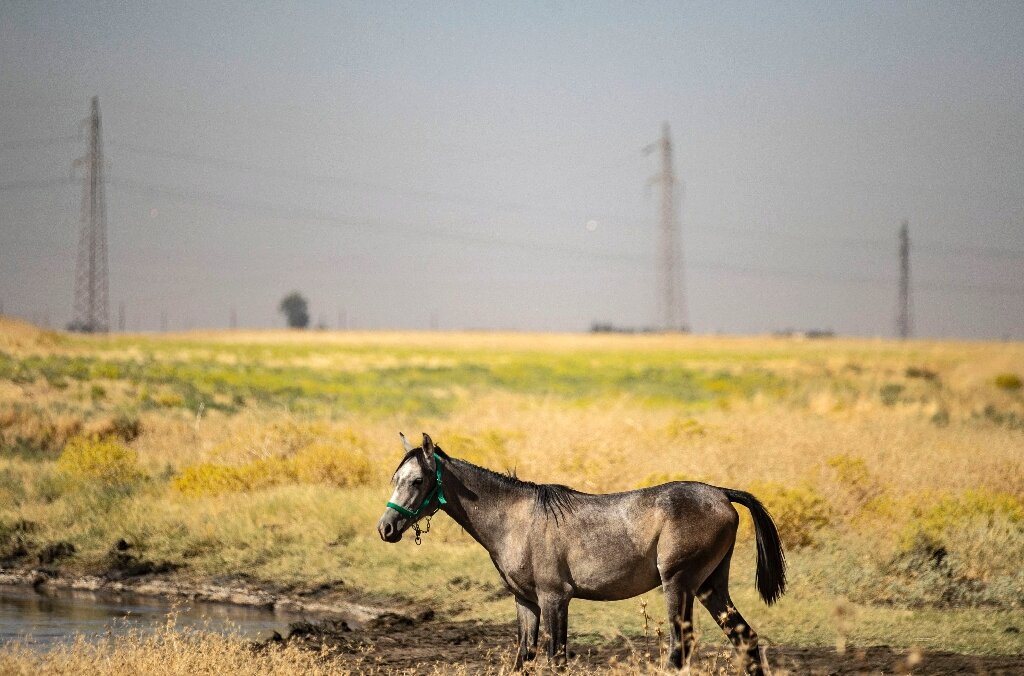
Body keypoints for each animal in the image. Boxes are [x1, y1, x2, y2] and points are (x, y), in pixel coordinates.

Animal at [376, 432, 782, 671]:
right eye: (395, 479)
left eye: (416, 480)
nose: (386, 528)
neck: (516, 518)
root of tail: (720, 493)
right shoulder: (526, 602)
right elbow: (523, 657)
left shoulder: (555, 598)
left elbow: (557, 659)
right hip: (711, 586)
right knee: (745, 639)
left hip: (679, 585)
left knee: (680, 648)